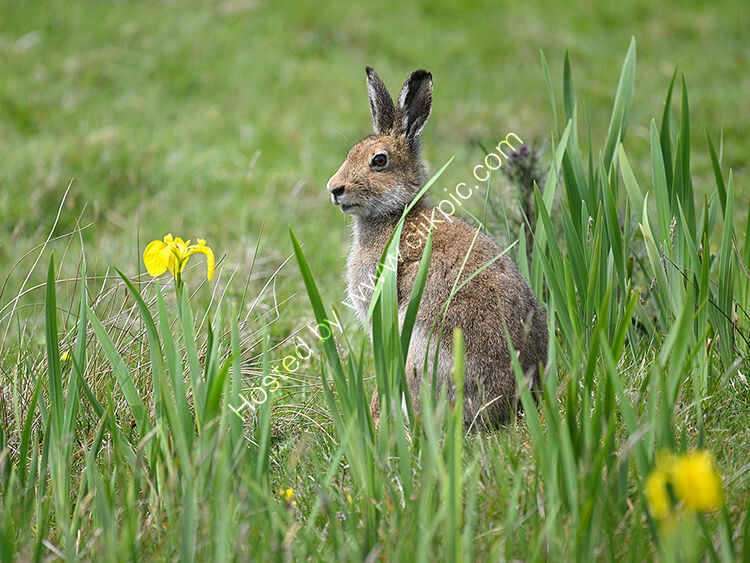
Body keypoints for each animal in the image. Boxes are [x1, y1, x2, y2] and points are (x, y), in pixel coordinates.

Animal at [326, 67, 548, 430]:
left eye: (379, 161)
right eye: (350, 154)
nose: (334, 189)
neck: (396, 213)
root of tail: (512, 400)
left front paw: (374, 415)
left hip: (421, 354)